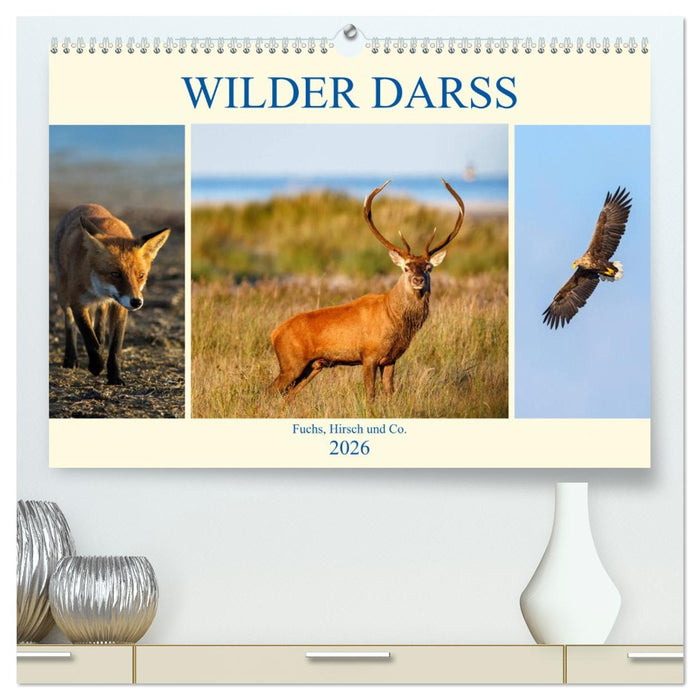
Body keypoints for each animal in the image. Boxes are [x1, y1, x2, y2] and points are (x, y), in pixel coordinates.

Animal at [52, 204, 171, 385]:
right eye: (115, 274)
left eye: (140, 275)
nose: (137, 302)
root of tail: (86, 204)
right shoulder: (77, 302)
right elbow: (89, 338)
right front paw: (96, 366)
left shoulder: (119, 306)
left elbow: (115, 346)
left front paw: (115, 377)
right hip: (63, 294)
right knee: (70, 324)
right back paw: (70, 359)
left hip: (102, 304)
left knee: (100, 321)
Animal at [269, 179, 465, 400]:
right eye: (406, 267)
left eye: (429, 267)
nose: (418, 280)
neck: (395, 320)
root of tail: (274, 334)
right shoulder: (369, 355)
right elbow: (370, 394)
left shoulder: (390, 359)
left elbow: (390, 392)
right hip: (291, 363)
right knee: (269, 391)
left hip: (312, 367)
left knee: (287, 397)